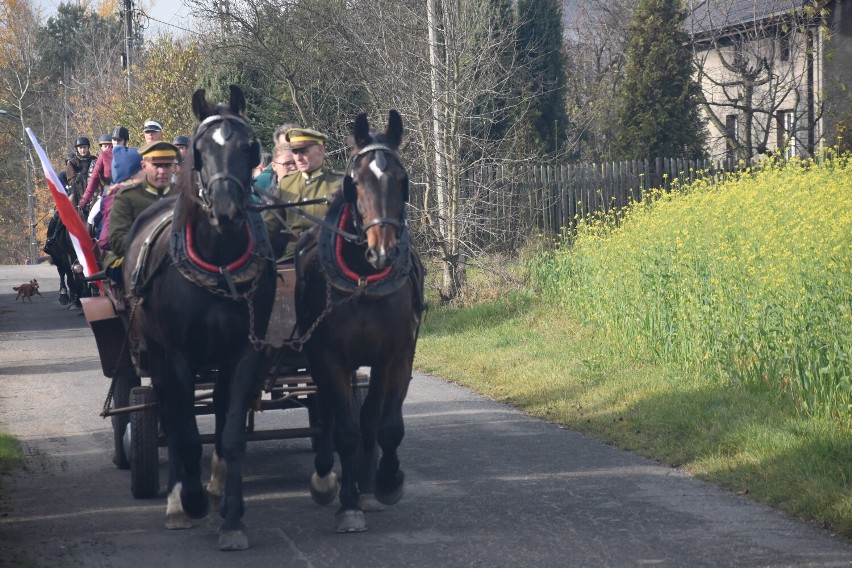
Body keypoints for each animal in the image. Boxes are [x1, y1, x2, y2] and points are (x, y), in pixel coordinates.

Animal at [121, 85, 274, 552]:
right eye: (200, 152)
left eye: (247, 147)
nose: (226, 209)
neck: (217, 260)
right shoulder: (176, 356)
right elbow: (186, 433)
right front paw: (189, 500)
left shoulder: (244, 352)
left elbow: (232, 434)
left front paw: (232, 519)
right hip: (153, 353)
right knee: (170, 414)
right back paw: (177, 501)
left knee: (218, 409)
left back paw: (216, 486)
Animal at [296, 110, 426, 532]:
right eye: (357, 182)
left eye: (402, 180)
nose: (381, 251)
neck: (364, 280)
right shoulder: (330, 357)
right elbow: (347, 429)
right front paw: (348, 503)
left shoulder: (396, 356)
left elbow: (383, 423)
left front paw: (384, 482)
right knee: (329, 412)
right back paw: (325, 476)